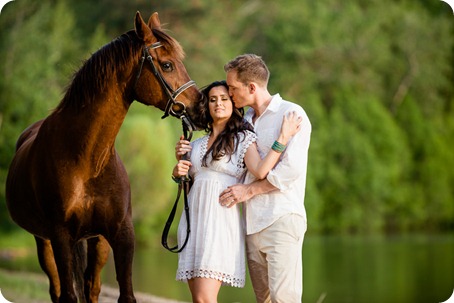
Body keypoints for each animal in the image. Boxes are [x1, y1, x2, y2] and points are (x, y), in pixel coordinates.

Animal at [4, 10, 202, 302]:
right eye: (167, 65)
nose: (201, 107)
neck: (86, 159)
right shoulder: (60, 236)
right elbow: (68, 294)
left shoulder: (121, 234)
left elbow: (125, 294)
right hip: (45, 242)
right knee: (57, 288)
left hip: (97, 241)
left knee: (91, 286)